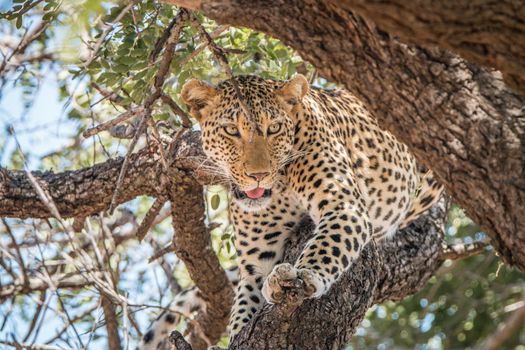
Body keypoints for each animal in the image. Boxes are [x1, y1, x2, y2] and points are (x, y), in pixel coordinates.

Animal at [137, 74, 440, 348]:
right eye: (231, 130)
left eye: (273, 128)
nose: (258, 175)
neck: (281, 187)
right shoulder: (256, 262)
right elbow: (243, 310)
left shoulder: (345, 205)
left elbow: (328, 244)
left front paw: (305, 274)